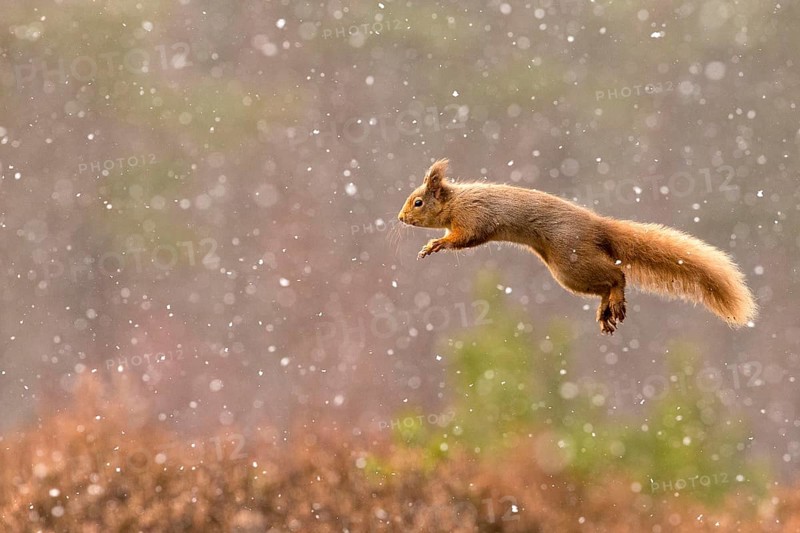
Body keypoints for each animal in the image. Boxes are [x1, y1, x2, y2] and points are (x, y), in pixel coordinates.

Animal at [397, 158, 757, 334]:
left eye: (418, 202)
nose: (400, 218)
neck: (455, 202)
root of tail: (598, 227)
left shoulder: (474, 219)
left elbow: (462, 238)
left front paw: (434, 244)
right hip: (567, 273)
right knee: (606, 282)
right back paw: (605, 310)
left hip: (571, 260)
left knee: (617, 275)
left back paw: (616, 300)